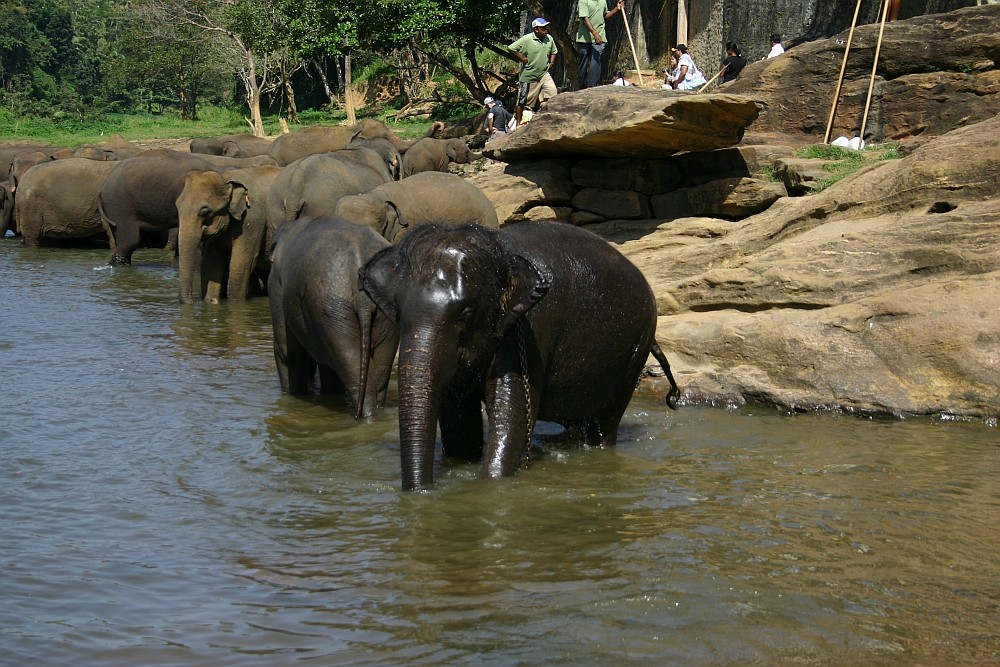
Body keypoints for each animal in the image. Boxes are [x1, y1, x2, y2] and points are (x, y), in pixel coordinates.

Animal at [175, 166, 282, 304]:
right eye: (177, 208)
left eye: (205, 211)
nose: (193, 302)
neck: (226, 178)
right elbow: (211, 262)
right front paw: (211, 301)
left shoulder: (252, 219)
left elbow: (240, 263)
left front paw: (235, 303)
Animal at [360, 223, 680, 490]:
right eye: (398, 310)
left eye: (466, 313)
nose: (420, 492)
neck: (499, 252)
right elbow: (459, 423)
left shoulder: (528, 329)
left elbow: (510, 413)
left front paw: (491, 482)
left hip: (636, 345)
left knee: (604, 426)